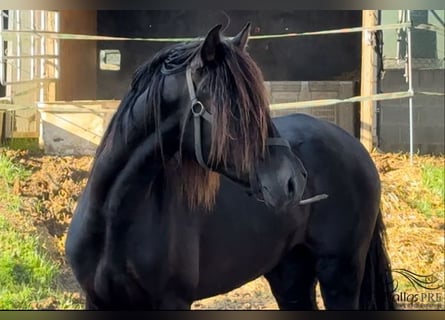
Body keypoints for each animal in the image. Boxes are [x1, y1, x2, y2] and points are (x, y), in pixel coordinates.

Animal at [65, 23, 392, 310]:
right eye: (235, 108)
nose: (293, 181)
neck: (113, 221)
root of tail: (356, 149)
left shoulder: (172, 302)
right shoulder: (97, 301)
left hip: (340, 274)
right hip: (290, 276)